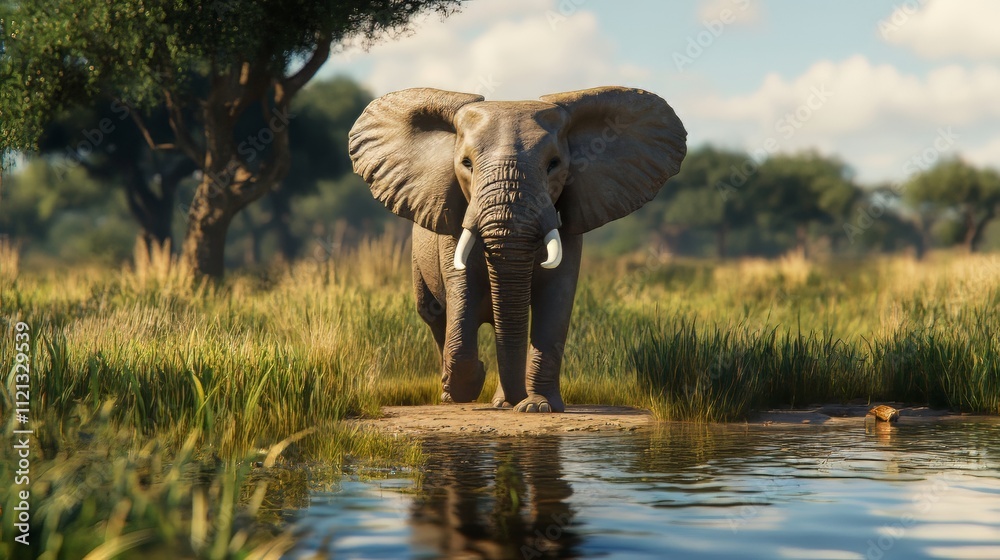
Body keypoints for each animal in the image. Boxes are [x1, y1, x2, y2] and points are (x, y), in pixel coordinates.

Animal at [348, 86, 686, 412]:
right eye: (466, 164)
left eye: (554, 165)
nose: (516, 400)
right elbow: (463, 293)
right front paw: (471, 384)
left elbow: (555, 302)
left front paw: (536, 407)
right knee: (434, 314)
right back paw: (456, 396)